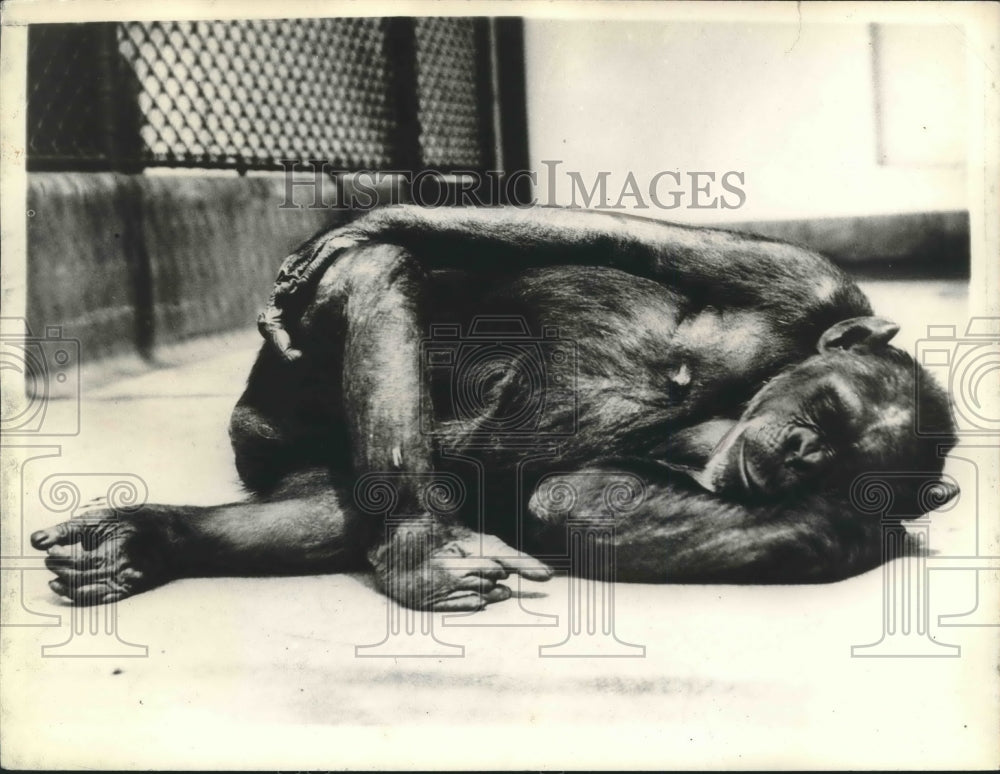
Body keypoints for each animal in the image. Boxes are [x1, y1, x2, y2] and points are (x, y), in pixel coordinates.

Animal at [31, 205, 956, 612]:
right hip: (276, 395)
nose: (801, 450)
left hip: (293, 458)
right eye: (828, 409)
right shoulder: (803, 282)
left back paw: (148, 541)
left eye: (848, 459)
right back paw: (417, 547)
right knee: (382, 271)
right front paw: (356, 225)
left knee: (322, 511)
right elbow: (613, 238)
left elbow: (571, 498)